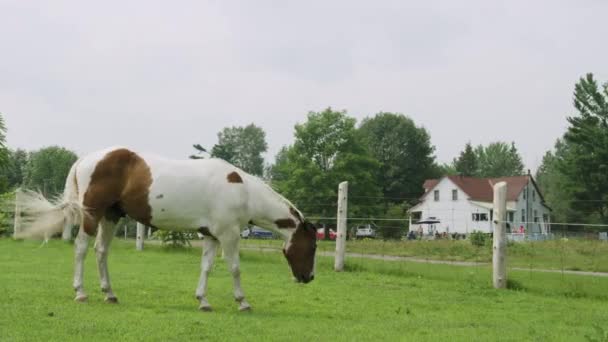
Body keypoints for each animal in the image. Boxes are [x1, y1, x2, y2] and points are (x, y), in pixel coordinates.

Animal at [14, 146, 318, 312]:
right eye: (313, 245)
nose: (309, 277)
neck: (242, 190)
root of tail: (87, 159)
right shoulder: (229, 235)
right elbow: (234, 268)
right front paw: (242, 302)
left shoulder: (211, 236)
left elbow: (207, 268)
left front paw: (203, 300)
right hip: (92, 214)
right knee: (81, 249)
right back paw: (80, 292)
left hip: (111, 216)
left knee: (101, 252)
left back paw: (109, 293)